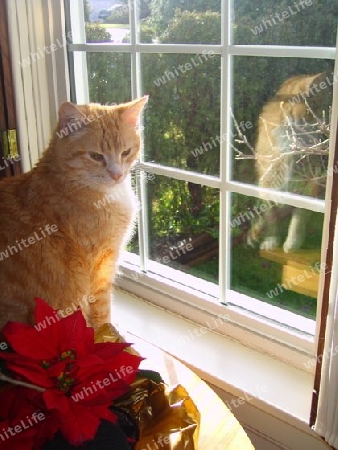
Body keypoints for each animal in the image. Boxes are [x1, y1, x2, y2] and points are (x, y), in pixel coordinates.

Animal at [0, 96, 148, 330]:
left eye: (126, 152)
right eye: (96, 156)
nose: (117, 175)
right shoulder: (100, 267)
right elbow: (102, 311)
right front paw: (108, 333)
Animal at [250, 71, 332, 251]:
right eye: (324, 108)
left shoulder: (307, 188)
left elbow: (298, 220)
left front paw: (292, 244)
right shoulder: (268, 185)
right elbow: (271, 217)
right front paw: (271, 240)